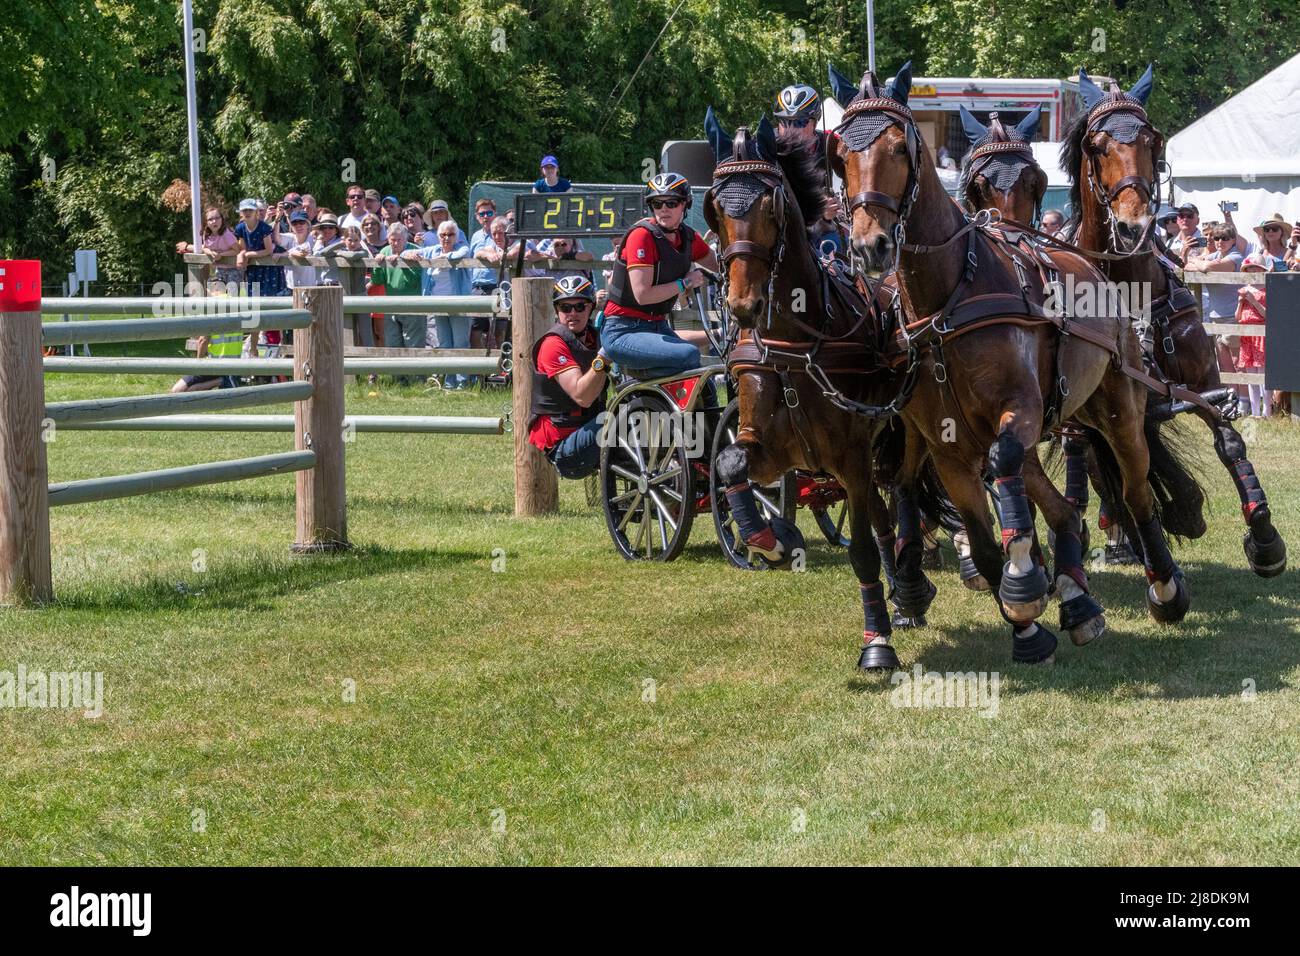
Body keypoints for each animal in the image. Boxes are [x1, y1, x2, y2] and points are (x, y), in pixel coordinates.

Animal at [702, 113, 935, 671]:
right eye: (715, 208)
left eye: (771, 206)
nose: (742, 304)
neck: (798, 345)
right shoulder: (771, 450)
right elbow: (730, 465)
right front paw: (770, 541)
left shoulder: (849, 457)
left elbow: (863, 550)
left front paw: (877, 643)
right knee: (883, 512)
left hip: (901, 435)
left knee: (902, 494)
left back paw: (910, 587)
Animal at [832, 57, 1206, 658]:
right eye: (840, 153)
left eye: (898, 148)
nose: (871, 246)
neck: (949, 296)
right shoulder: (948, 446)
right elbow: (986, 544)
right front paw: (1024, 616)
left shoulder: (1021, 412)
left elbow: (1008, 466)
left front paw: (1026, 583)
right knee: (1056, 507)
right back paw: (1070, 597)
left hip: (1119, 407)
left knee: (1135, 490)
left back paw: (1164, 587)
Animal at [1060, 67, 1284, 580]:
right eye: (1097, 145)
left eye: (1152, 139)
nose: (1133, 227)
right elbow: (1124, 473)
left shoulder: (1204, 381)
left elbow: (1230, 443)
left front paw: (1265, 540)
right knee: (1107, 473)